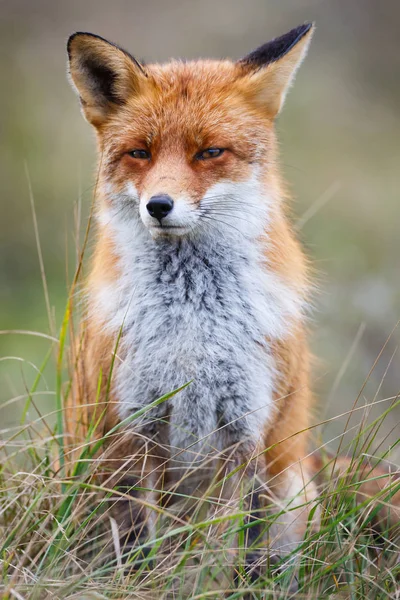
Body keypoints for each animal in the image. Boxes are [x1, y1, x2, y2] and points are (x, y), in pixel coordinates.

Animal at [65, 23, 396, 592]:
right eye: (140, 153)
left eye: (210, 152)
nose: (159, 205)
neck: (192, 325)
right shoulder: (134, 427)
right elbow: (142, 542)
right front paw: (147, 586)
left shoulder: (243, 430)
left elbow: (214, 551)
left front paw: (203, 589)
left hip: (289, 491)